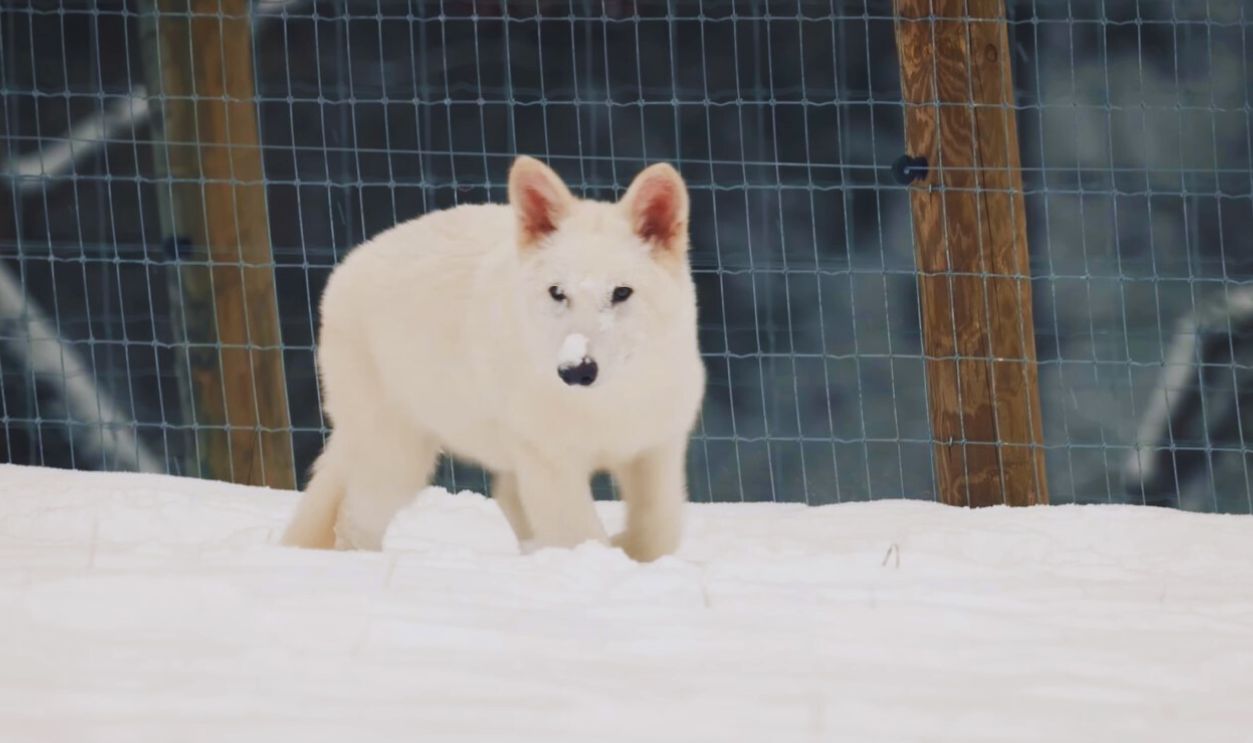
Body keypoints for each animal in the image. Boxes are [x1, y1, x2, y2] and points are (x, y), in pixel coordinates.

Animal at [280, 156, 706, 562]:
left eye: (621, 293)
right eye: (558, 293)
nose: (576, 371)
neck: (608, 404)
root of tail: (348, 264)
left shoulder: (656, 449)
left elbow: (659, 530)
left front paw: (624, 547)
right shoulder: (551, 463)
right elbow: (581, 534)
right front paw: (601, 555)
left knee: (506, 495)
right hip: (398, 457)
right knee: (353, 520)